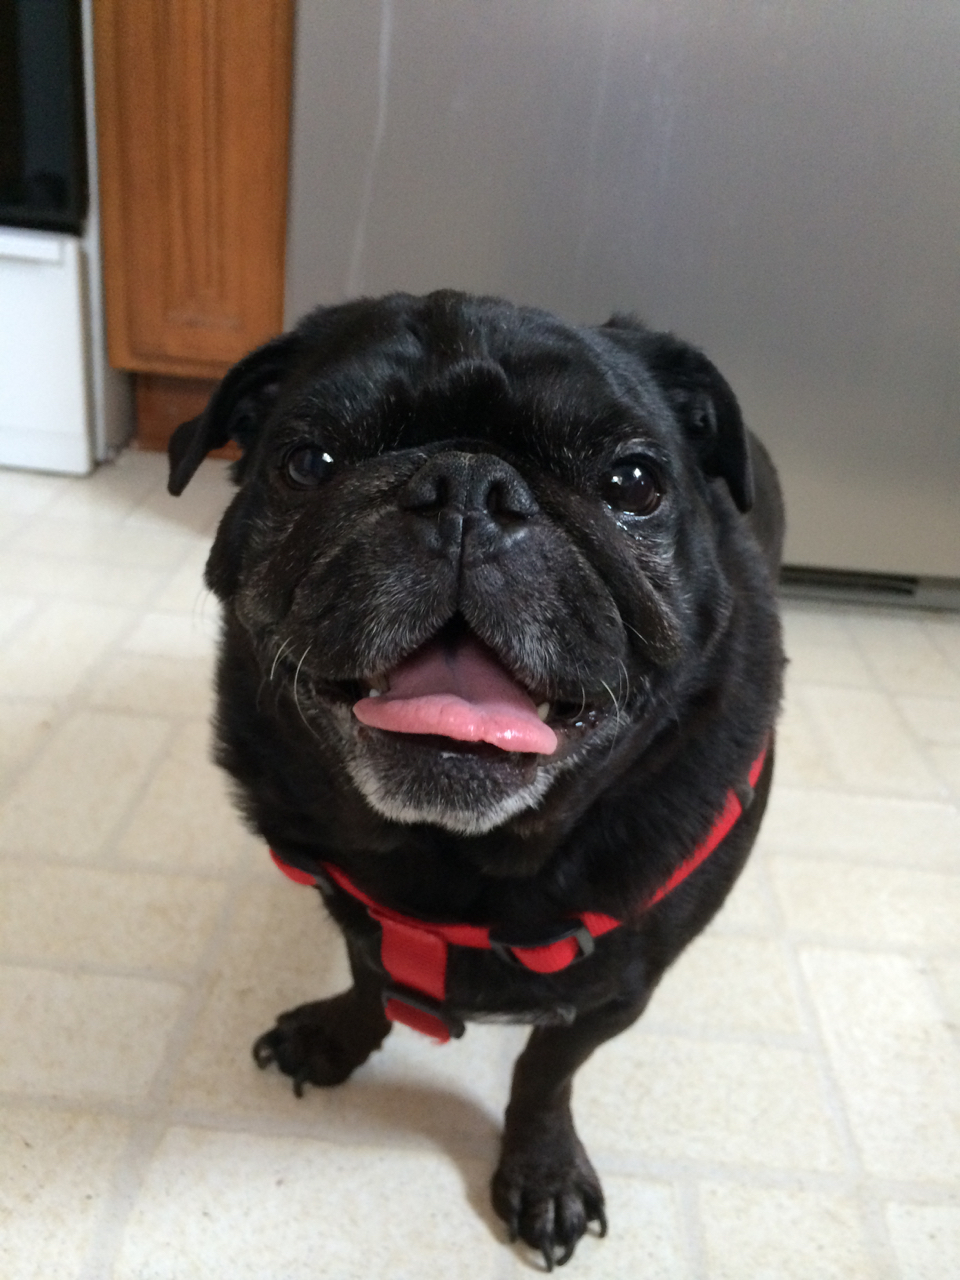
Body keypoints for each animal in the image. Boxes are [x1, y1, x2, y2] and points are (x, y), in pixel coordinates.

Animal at [168, 290, 784, 1269]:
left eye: (634, 484)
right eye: (309, 463)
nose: (466, 489)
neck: (452, 857)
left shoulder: (616, 992)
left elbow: (544, 1072)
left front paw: (542, 1171)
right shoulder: (352, 903)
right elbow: (372, 973)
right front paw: (339, 1036)